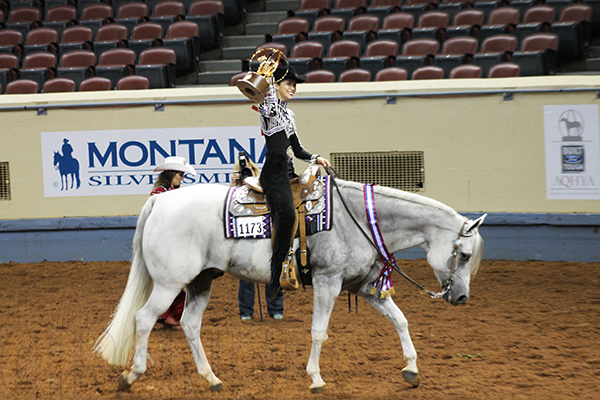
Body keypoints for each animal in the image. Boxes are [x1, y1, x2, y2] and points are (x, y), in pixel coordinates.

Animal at [95, 178, 488, 394]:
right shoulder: (328, 281)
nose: (461, 297)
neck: (359, 219)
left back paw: (212, 379)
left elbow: (401, 320)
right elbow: (319, 332)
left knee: (190, 325)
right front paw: (315, 379)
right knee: (144, 320)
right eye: (465, 255)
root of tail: (160, 200)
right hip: (169, 283)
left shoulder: (363, 287)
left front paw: (411, 370)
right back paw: (131, 376)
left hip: (200, 281)